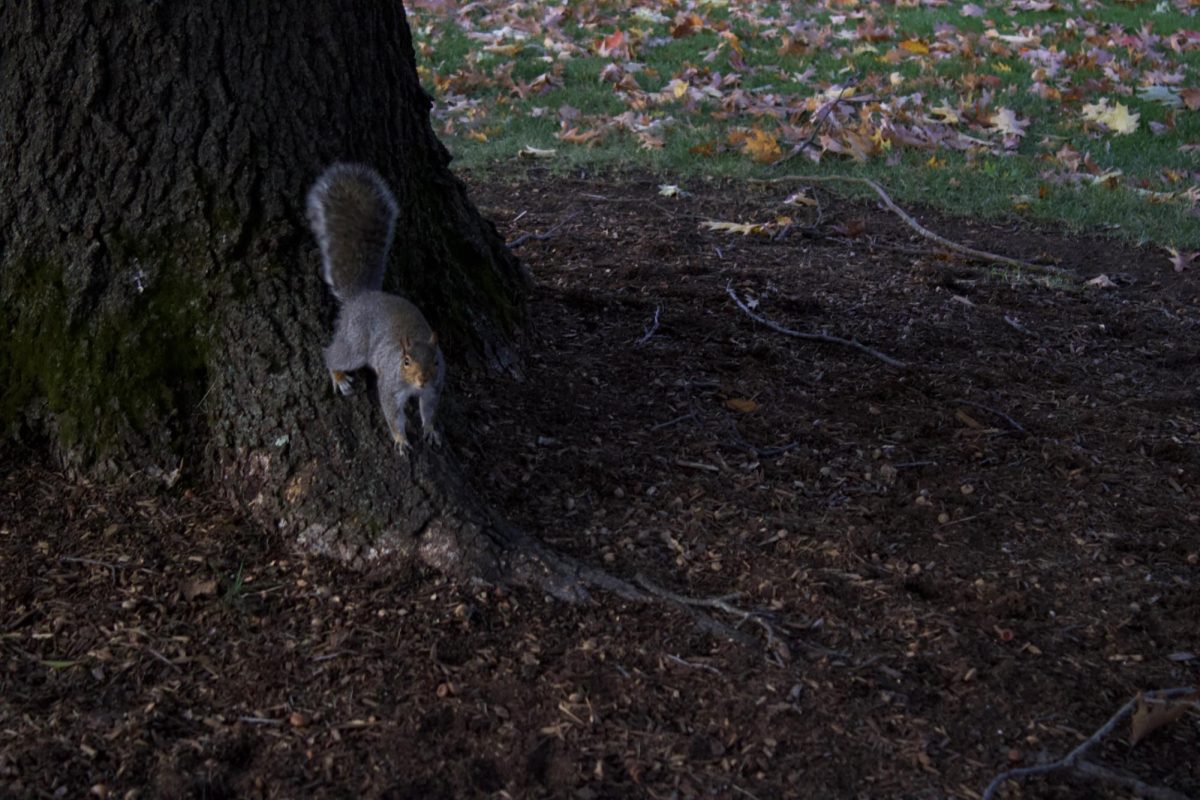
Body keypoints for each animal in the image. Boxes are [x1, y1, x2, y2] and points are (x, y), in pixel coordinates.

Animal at [307, 161, 444, 450]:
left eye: (436, 360)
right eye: (405, 361)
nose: (422, 378)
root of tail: (361, 296)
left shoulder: (434, 388)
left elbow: (429, 409)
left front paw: (430, 429)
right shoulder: (391, 386)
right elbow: (392, 413)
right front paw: (400, 438)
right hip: (356, 344)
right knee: (332, 354)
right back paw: (338, 377)